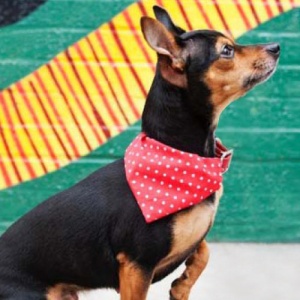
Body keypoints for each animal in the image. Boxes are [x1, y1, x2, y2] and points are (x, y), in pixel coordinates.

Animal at [0, 5, 278, 300]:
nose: (276, 47)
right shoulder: (136, 265)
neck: (176, 153)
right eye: (226, 50)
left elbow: (203, 250)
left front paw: (182, 285)